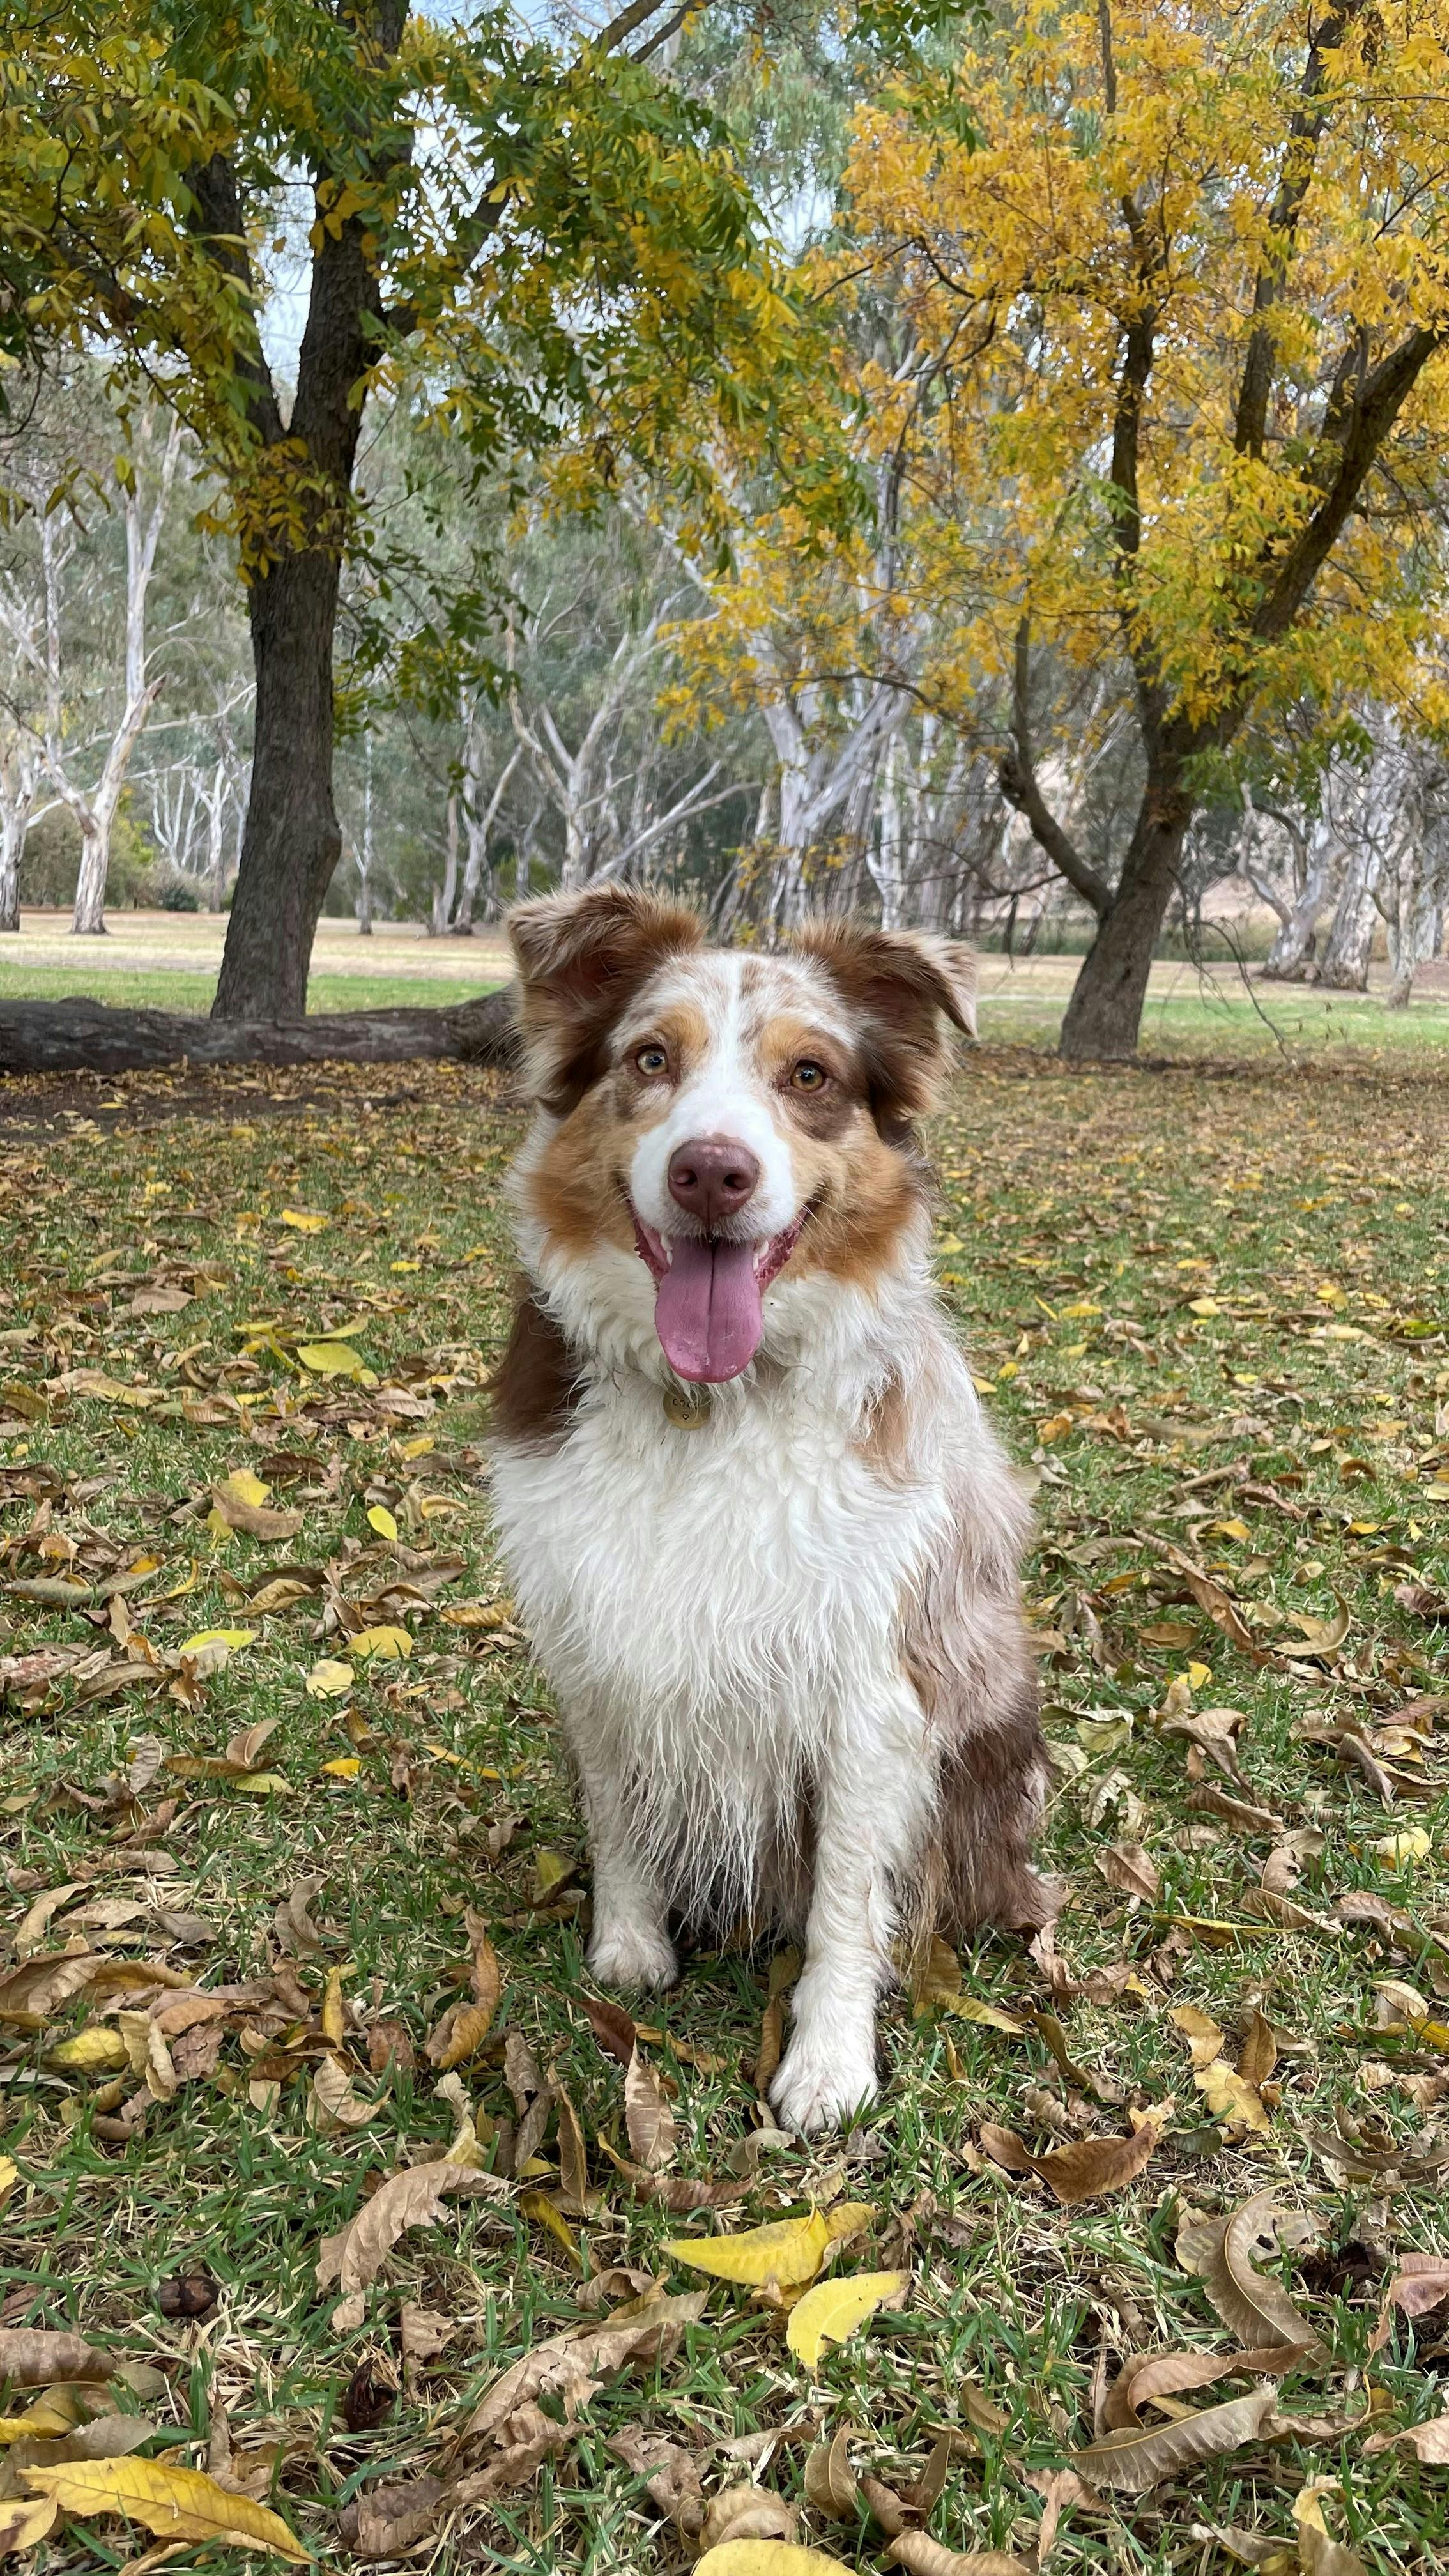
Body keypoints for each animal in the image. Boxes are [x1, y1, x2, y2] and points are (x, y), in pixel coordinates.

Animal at [487, 886, 1046, 2133]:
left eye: (809, 1075)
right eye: (652, 1058)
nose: (712, 1173)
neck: (708, 1403)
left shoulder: (870, 1690)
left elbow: (843, 1894)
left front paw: (829, 2061)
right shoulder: (594, 1639)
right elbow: (619, 1812)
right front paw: (630, 1944)